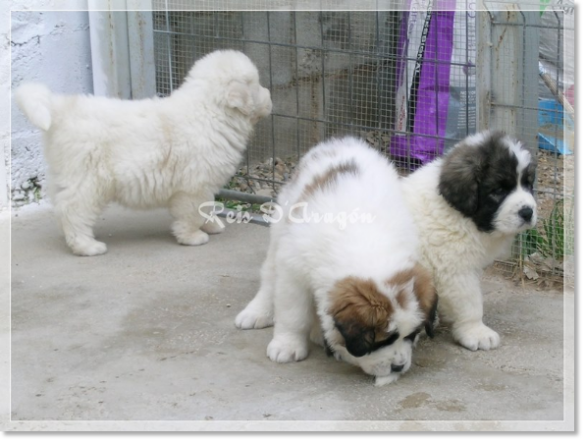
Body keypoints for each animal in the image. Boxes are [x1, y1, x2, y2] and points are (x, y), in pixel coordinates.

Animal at [15, 49, 272, 256]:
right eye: (257, 84)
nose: (270, 95)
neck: (210, 112)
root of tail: (60, 110)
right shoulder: (193, 185)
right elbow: (192, 212)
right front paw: (192, 236)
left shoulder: (205, 183)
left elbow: (206, 207)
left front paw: (212, 225)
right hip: (87, 180)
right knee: (73, 209)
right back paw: (86, 246)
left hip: (63, 174)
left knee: (60, 206)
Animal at [235, 136, 436, 386]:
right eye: (381, 341)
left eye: (411, 334)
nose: (398, 367)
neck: (367, 244)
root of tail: (343, 140)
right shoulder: (293, 270)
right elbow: (293, 313)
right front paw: (287, 345)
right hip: (282, 226)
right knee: (269, 276)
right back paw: (257, 312)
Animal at [400, 129, 536, 350]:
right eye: (498, 190)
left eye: (527, 184)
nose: (527, 212)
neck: (459, 213)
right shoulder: (455, 269)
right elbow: (470, 302)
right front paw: (476, 332)